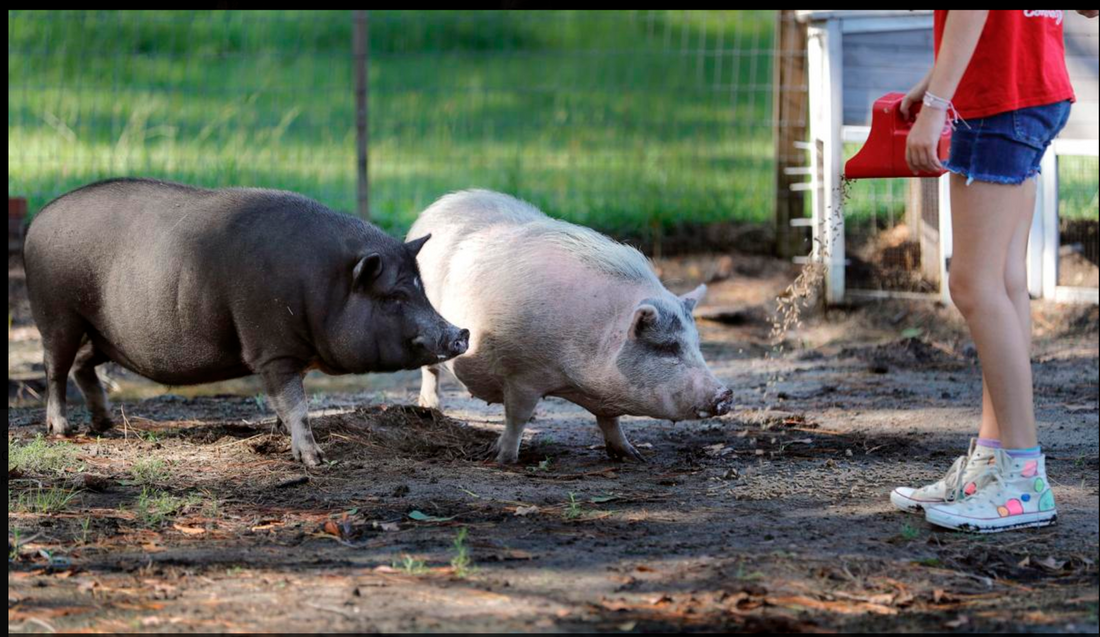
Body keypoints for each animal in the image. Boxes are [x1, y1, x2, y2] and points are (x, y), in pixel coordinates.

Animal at [407, 189, 730, 464]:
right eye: (667, 348)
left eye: (697, 345)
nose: (726, 394)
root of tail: (442, 203)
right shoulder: (521, 374)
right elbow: (517, 418)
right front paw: (504, 459)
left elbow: (609, 420)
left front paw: (632, 456)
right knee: (431, 370)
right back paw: (430, 408)